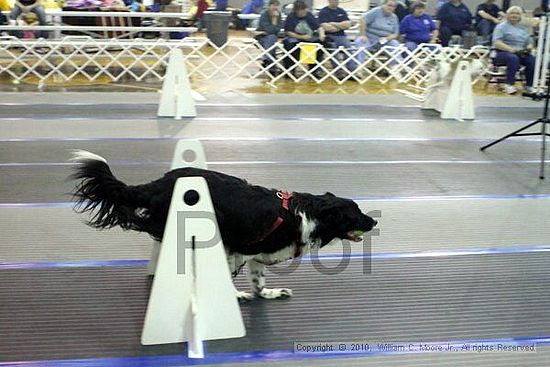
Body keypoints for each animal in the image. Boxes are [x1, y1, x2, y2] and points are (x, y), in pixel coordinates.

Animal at [70, 151, 380, 300]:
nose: (375, 220)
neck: (308, 214)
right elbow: (225, 277)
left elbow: (258, 283)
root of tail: (158, 184)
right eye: (356, 213)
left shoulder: (256, 254)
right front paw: (231, 297)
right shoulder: (236, 249)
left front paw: (270, 293)